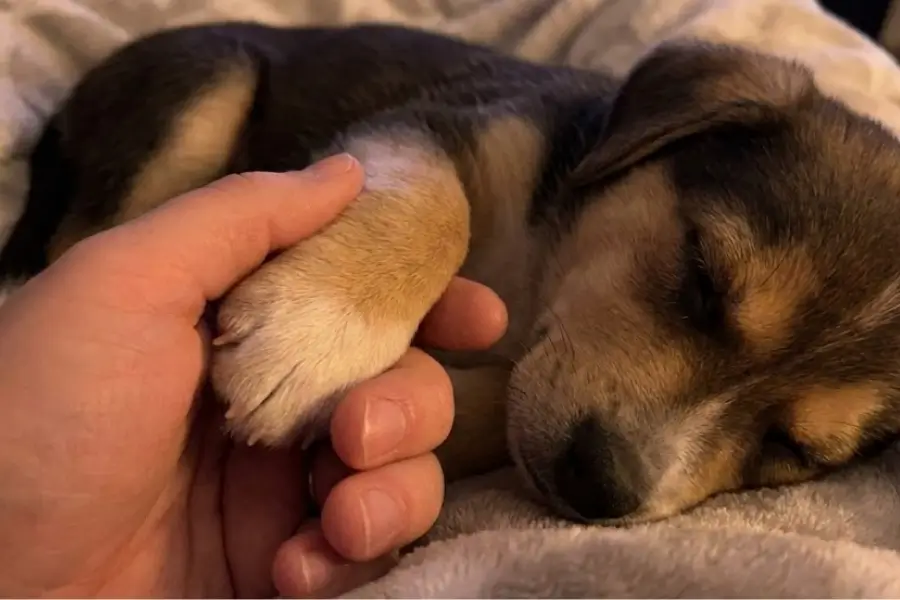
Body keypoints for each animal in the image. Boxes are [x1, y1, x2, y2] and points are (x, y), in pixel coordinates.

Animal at [4, 21, 900, 526]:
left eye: (793, 450)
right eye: (702, 276)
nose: (600, 487)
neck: (537, 274)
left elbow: (493, 405)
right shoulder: (438, 127)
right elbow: (437, 202)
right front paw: (316, 332)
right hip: (202, 85)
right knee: (77, 239)